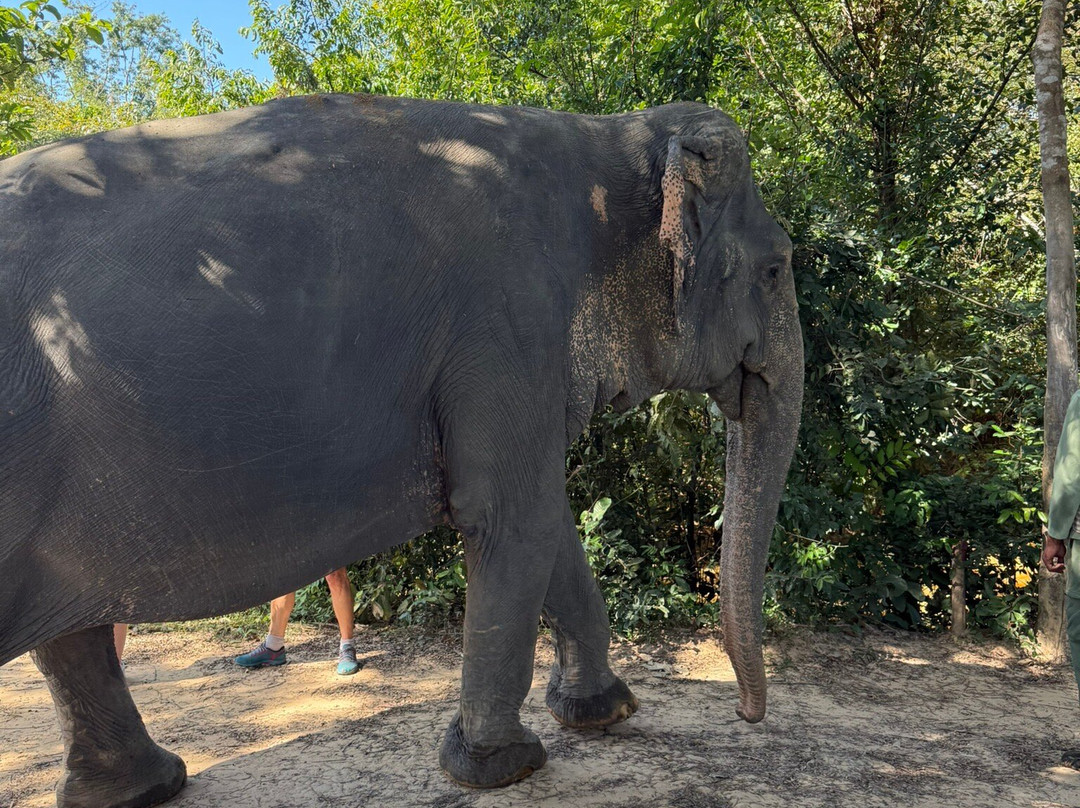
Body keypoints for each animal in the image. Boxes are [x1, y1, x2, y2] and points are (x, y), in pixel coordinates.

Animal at [0, 93, 803, 807]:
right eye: (776, 269)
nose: (746, 714)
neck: (604, 140)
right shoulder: (506, 323)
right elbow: (511, 518)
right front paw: (502, 765)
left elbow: (545, 522)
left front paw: (603, 711)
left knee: (71, 640)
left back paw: (149, 788)